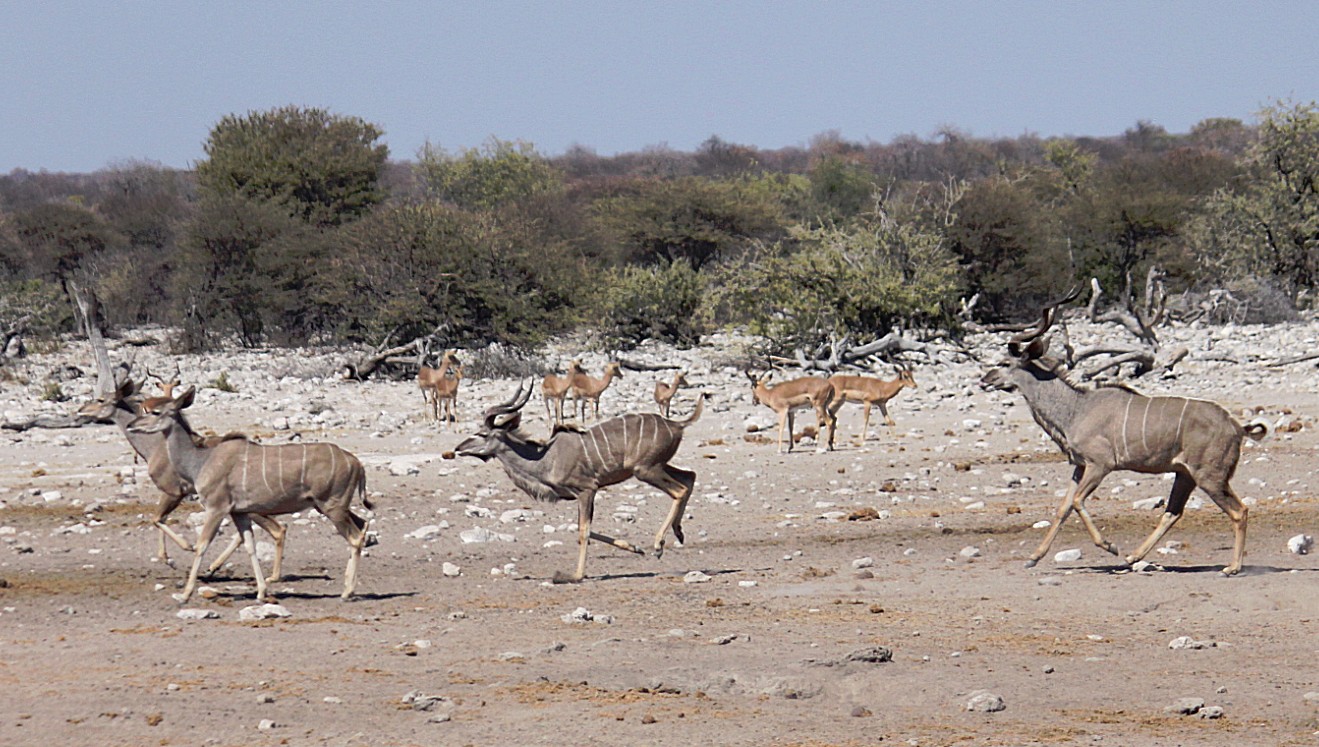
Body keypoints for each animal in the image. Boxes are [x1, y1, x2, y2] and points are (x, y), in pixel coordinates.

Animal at [78, 377, 287, 578]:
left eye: (100, 400)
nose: (81, 410)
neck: (156, 447)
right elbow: (160, 519)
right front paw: (169, 557)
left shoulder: (173, 492)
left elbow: (157, 519)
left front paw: (180, 552)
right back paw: (214, 568)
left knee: (277, 529)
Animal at [125, 385, 374, 604]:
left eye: (155, 412)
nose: (130, 425)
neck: (200, 462)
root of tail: (356, 463)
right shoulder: (239, 513)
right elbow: (250, 547)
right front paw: (261, 593)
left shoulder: (216, 508)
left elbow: (201, 546)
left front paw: (185, 594)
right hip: (331, 507)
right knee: (361, 529)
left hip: (332, 506)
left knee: (355, 537)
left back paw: (347, 593)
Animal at [456, 382, 701, 583]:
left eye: (482, 434)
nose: (458, 448)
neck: (546, 458)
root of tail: (677, 425)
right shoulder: (578, 495)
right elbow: (584, 528)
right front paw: (635, 548)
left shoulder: (587, 489)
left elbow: (583, 531)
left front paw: (574, 575)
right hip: (656, 466)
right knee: (690, 476)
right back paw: (678, 533)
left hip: (645, 470)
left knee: (680, 489)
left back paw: (659, 545)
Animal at [981, 290, 1266, 578]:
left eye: (1004, 362)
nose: (984, 380)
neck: (1076, 409)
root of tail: (1237, 426)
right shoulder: (1080, 466)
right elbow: (1064, 507)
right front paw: (1033, 558)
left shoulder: (1101, 464)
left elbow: (1077, 501)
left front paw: (1110, 546)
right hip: (1185, 475)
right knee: (1173, 513)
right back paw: (1133, 557)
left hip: (1210, 476)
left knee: (1240, 510)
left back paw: (1231, 568)